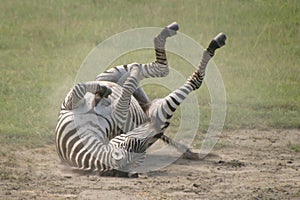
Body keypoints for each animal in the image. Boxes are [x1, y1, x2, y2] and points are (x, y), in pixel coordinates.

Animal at [55, 22, 226, 177]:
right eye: (135, 144)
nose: (153, 127)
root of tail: (147, 111)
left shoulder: (69, 105)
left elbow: (79, 87)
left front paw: (102, 92)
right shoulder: (118, 114)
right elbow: (121, 89)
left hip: (112, 74)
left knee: (150, 69)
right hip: (157, 110)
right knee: (184, 78)